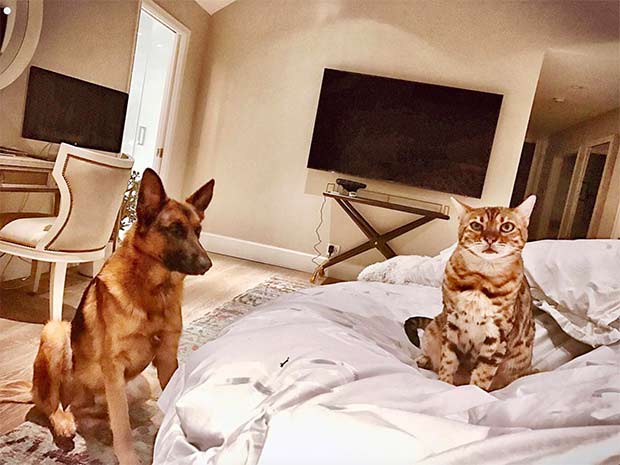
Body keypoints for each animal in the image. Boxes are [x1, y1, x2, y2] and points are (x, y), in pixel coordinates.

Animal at [1, 169, 216, 462]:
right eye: (175, 229)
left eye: (198, 232)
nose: (208, 265)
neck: (153, 291)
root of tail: (32, 389)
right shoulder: (114, 366)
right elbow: (122, 431)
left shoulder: (167, 358)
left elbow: (165, 400)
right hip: (55, 332)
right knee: (50, 404)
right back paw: (64, 422)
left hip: (137, 386)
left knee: (97, 411)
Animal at [406, 194, 536, 390]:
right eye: (476, 225)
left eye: (507, 227)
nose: (490, 238)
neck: (481, 279)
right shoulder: (452, 321)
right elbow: (448, 360)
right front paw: (444, 382)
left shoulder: (497, 334)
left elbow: (483, 373)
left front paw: (473, 391)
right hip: (434, 329)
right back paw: (424, 360)